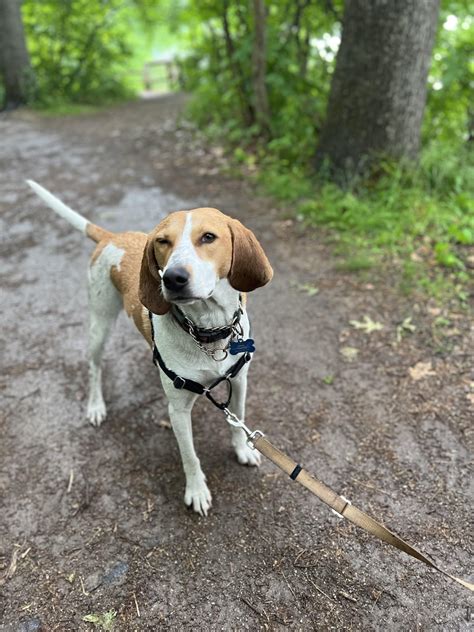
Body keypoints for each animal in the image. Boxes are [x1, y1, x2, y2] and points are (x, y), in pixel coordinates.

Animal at [27, 180, 272, 516]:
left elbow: (238, 422)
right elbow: (190, 455)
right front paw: (196, 490)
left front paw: (241, 450)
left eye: (208, 237)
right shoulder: (178, 411)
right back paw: (95, 406)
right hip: (99, 326)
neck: (208, 332)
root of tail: (112, 237)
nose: (173, 278)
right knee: (94, 368)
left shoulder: (240, 382)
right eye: (162, 241)